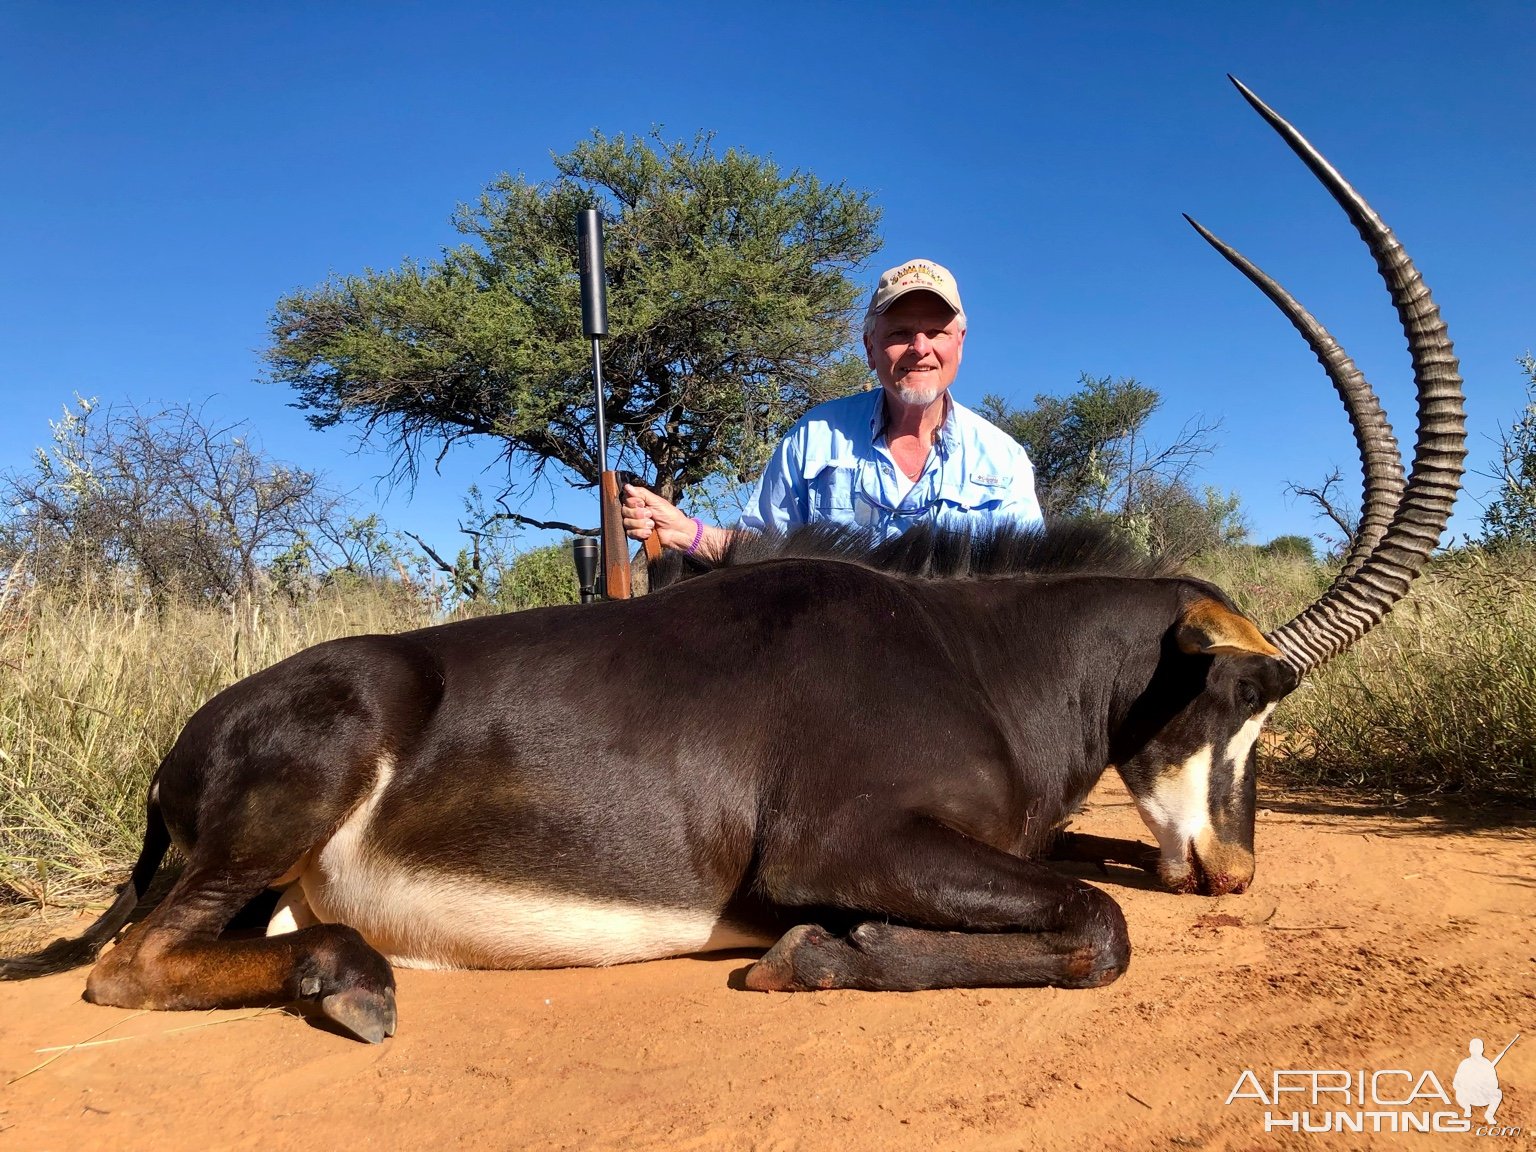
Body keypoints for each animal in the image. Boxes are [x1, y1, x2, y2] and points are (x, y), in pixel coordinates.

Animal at [0, 76, 1462, 1044]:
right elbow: (1100, 927)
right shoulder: (845, 841)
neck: (978, 657)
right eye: (1234, 698)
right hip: (303, 782)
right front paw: (820, 953)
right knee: (128, 965)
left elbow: (1097, 890)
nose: (1234, 873)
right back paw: (353, 981)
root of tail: (190, 737)